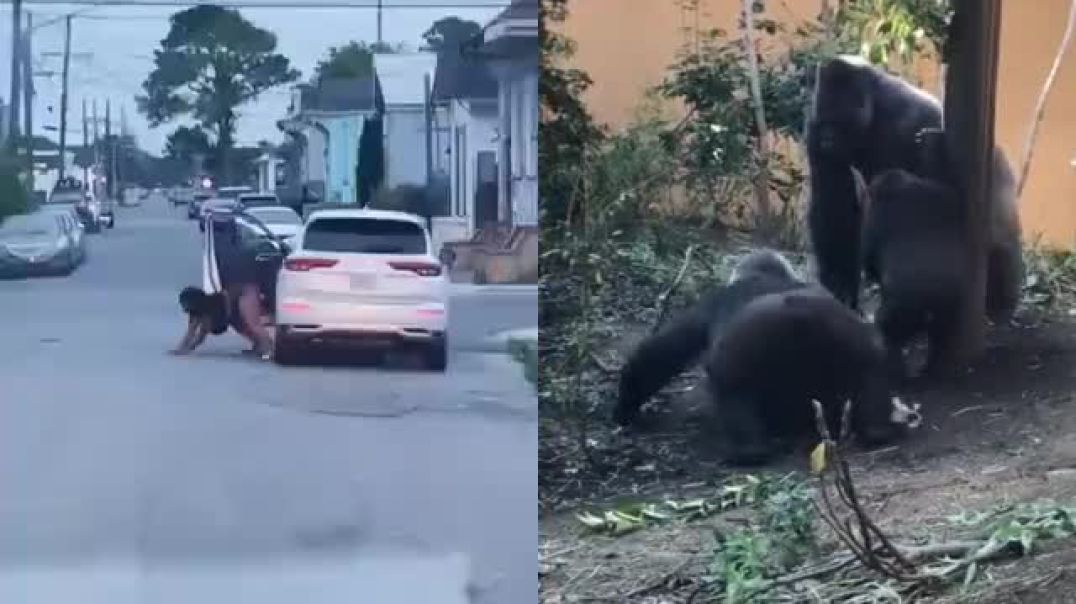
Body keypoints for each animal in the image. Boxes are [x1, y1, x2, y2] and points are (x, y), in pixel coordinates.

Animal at [809, 55, 1024, 325]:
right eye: (825, 120)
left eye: (840, 120)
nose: (827, 138)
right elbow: (834, 206)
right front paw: (839, 286)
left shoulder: (910, 119)